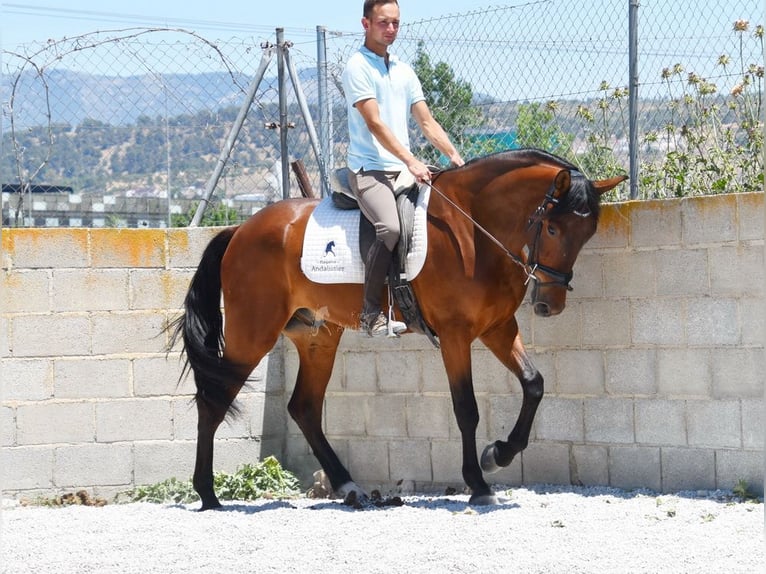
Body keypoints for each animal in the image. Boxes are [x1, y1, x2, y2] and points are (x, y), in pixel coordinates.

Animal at [169, 148, 627, 510]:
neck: (473, 230)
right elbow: (466, 408)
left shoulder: (497, 327)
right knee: (213, 401)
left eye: (587, 234)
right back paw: (207, 495)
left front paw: (498, 454)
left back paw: (350, 488)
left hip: (318, 336)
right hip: (253, 333)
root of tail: (239, 230)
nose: (550, 305)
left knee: (304, 407)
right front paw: (478, 483)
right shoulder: (456, 334)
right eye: (552, 228)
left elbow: (534, 384)